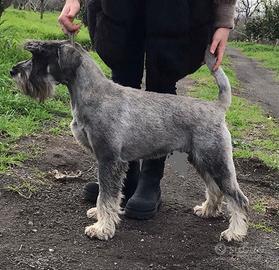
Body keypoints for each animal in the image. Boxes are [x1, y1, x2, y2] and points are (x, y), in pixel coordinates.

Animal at [10, 40, 249, 243]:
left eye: (39, 56)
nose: (13, 71)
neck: (93, 93)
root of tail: (217, 107)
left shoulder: (109, 159)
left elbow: (106, 196)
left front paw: (101, 228)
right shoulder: (108, 160)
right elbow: (106, 195)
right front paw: (99, 216)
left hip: (216, 159)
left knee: (238, 198)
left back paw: (235, 232)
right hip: (201, 159)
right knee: (215, 189)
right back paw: (208, 210)